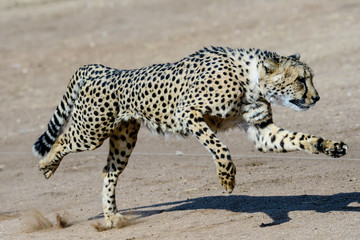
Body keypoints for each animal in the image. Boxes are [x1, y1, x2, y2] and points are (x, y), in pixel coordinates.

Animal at [32, 47, 348, 229]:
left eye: (309, 78)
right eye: (300, 80)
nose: (316, 98)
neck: (251, 80)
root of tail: (107, 69)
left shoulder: (262, 131)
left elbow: (300, 138)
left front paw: (331, 146)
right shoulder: (187, 113)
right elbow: (220, 148)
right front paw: (227, 180)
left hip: (123, 140)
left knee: (108, 172)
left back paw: (111, 217)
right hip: (91, 131)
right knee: (62, 140)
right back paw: (47, 166)